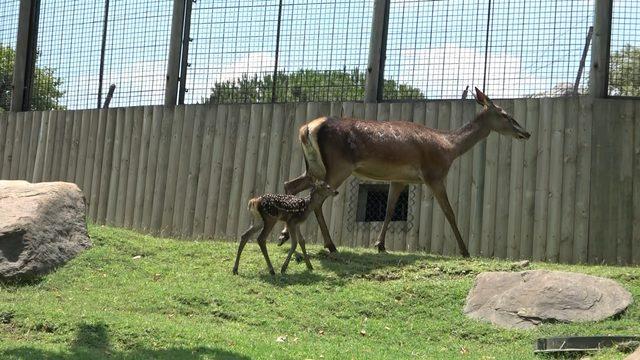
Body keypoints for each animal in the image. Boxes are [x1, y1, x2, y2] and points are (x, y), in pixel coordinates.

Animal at [284, 87, 528, 256]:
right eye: (505, 114)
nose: (526, 132)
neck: (449, 148)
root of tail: (307, 128)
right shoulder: (433, 174)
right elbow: (449, 212)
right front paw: (465, 251)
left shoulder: (399, 178)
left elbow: (389, 209)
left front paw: (380, 245)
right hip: (338, 166)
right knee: (315, 198)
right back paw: (328, 244)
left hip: (315, 168)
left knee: (292, 185)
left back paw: (286, 233)